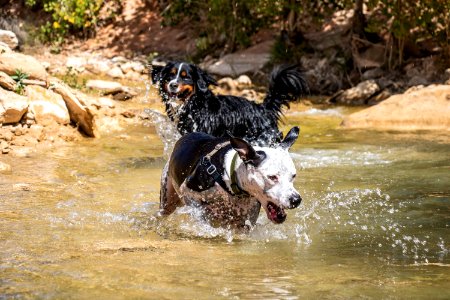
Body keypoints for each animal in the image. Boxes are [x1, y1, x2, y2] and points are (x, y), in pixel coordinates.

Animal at [158, 126, 302, 227]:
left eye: (293, 176)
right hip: (167, 200)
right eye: (272, 177)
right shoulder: (188, 192)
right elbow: (202, 216)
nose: (296, 199)